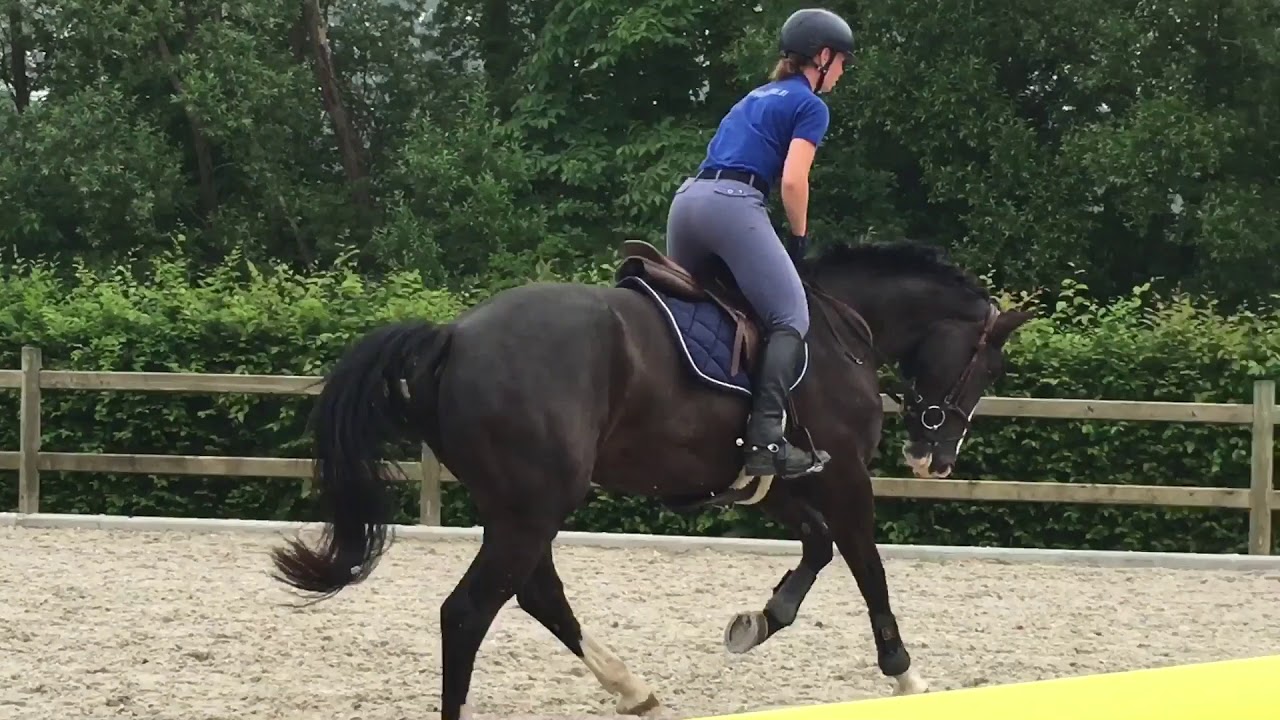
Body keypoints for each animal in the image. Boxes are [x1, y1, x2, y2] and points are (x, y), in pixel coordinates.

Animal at [269, 237, 1032, 720]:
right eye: (987, 365)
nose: (937, 458)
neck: (841, 327)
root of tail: (453, 336)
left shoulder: (778, 480)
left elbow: (816, 548)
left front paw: (757, 622)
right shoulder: (844, 477)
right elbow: (868, 566)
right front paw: (905, 674)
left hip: (520, 507)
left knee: (537, 595)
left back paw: (633, 689)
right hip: (534, 507)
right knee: (468, 612)